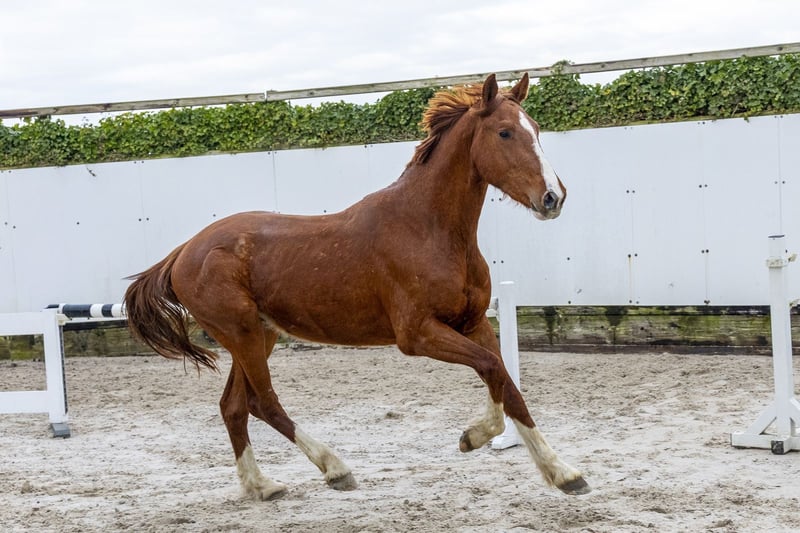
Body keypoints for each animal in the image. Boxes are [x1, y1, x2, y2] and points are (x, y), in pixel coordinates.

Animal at [124, 73, 590, 499]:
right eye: (505, 132)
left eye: (536, 129)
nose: (553, 198)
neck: (429, 229)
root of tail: (183, 252)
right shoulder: (417, 334)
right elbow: (491, 369)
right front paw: (473, 436)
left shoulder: (474, 323)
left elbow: (508, 385)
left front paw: (564, 473)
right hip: (242, 334)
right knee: (264, 402)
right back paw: (335, 468)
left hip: (258, 334)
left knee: (235, 406)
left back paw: (262, 486)